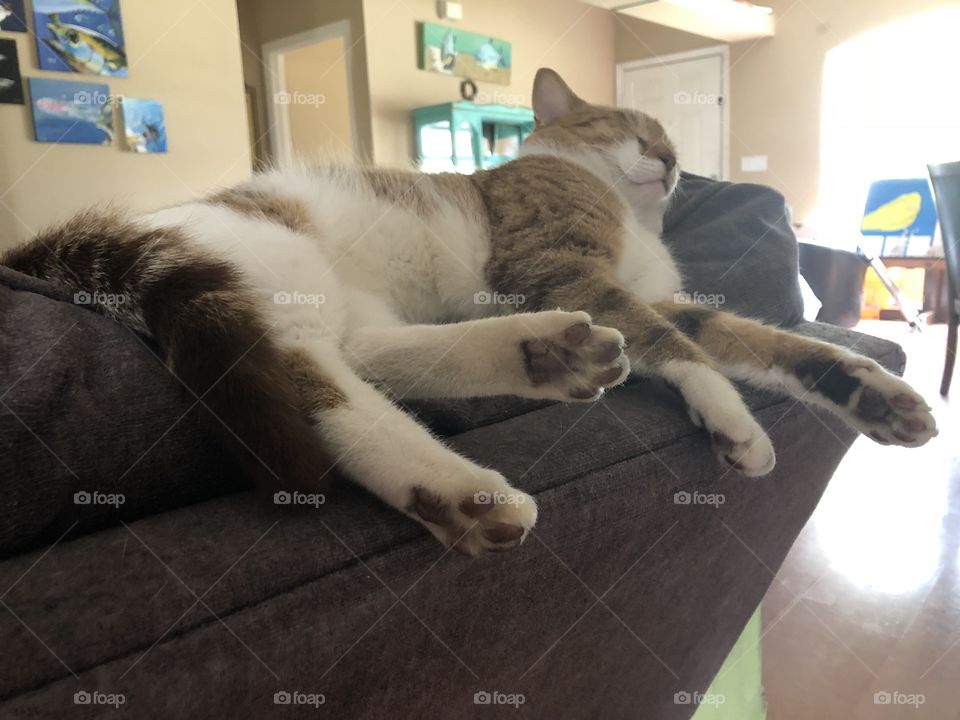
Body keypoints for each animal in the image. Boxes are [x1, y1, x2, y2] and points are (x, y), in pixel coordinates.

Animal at [3, 67, 936, 556]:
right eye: (627, 127)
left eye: (666, 139)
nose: (672, 159)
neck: (632, 220)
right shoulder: (558, 266)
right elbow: (686, 350)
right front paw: (730, 417)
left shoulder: (646, 295)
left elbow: (745, 337)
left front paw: (872, 392)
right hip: (275, 261)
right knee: (313, 377)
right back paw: (462, 487)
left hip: (353, 302)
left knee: (373, 355)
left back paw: (542, 360)